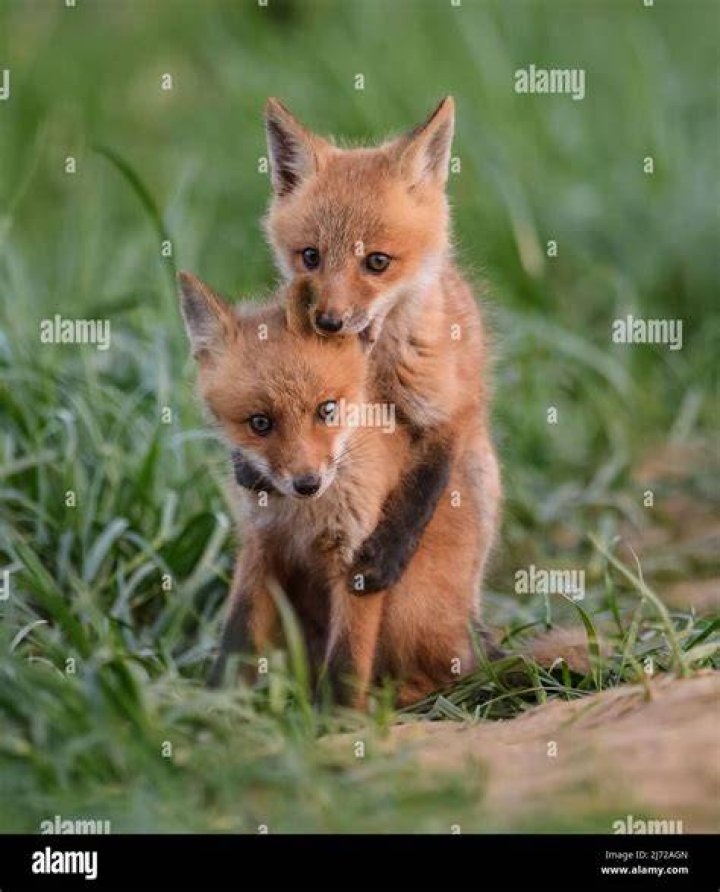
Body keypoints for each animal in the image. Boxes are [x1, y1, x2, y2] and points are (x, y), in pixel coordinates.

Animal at [179, 271, 498, 707]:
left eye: (326, 410)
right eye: (260, 423)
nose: (307, 483)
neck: (303, 518)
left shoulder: (355, 559)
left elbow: (347, 660)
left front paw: (336, 718)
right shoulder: (261, 549)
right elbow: (236, 641)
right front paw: (214, 707)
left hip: (407, 607)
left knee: (447, 676)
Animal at [228, 95, 502, 624]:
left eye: (377, 262)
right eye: (309, 257)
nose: (329, 321)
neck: (372, 365)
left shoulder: (445, 408)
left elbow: (420, 491)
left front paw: (385, 557)